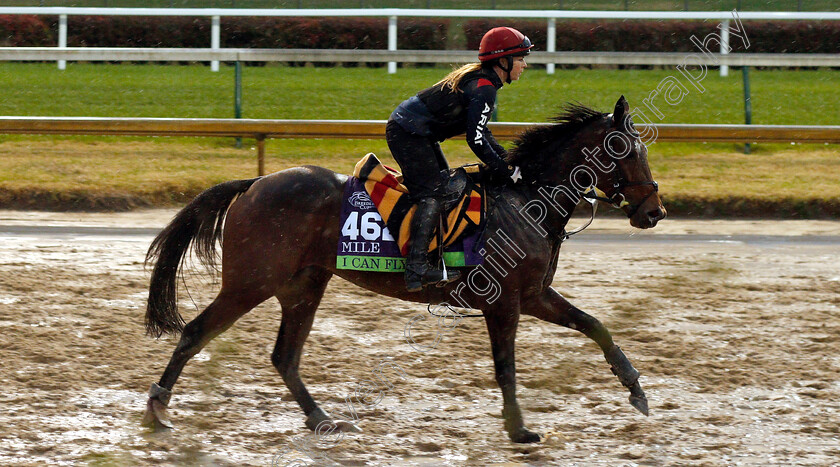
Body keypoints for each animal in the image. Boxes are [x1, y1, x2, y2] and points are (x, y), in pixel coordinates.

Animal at [141, 96, 668, 446]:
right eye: (627, 150)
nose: (654, 211)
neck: (527, 200)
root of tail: (254, 184)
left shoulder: (534, 295)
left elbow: (595, 326)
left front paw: (636, 389)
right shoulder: (504, 303)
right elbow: (506, 367)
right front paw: (519, 428)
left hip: (304, 285)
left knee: (284, 356)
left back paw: (323, 419)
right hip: (252, 281)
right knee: (195, 333)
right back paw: (157, 410)